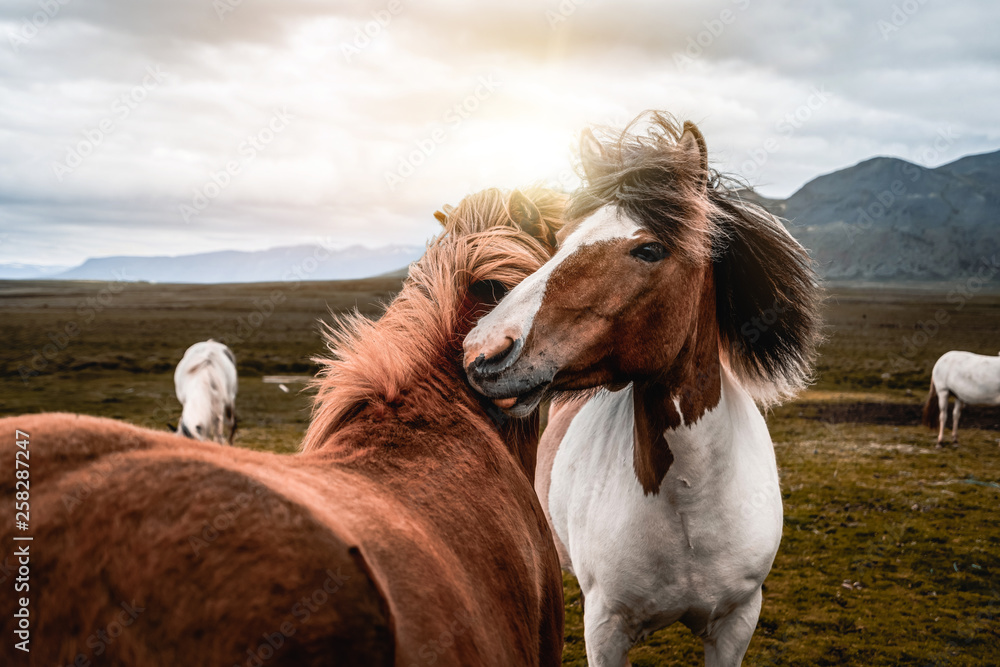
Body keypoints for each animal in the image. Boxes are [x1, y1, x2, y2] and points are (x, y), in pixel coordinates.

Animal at [462, 112, 820, 664]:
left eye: (650, 248)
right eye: (561, 240)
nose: (482, 350)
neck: (690, 501)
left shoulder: (736, 624)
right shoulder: (605, 629)